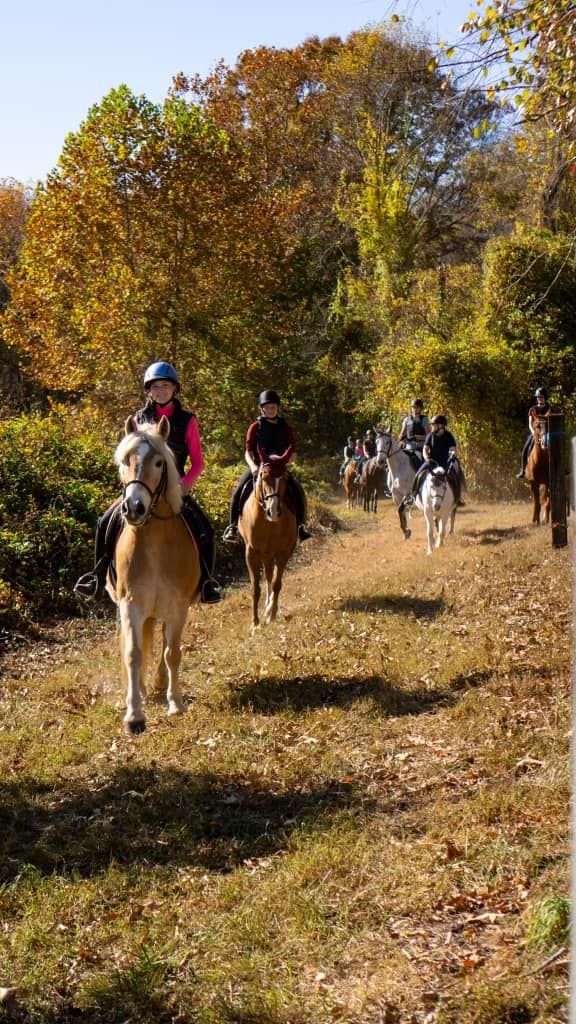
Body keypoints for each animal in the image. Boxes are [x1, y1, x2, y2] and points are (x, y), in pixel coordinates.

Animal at [108, 416, 201, 733]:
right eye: (125, 460)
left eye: (160, 462)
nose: (134, 508)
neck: (155, 544)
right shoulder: (131, 604)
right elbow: (133, 653)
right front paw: (134, 714)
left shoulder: (179, 605)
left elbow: (172, 652)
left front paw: (176, 703)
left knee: (164, 645)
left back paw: (160, 683)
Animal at [238, 462, 298, 630]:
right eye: (263, 478)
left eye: (284, 478)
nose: (274, 511)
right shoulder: (251, 553)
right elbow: (255, 588)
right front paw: (255, 623)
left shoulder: (284, 552)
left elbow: (277, 584)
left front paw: (272, 615)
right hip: (265, 554)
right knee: (268, 575)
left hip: (270, 554)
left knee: (270, 576)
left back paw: (271, 607)